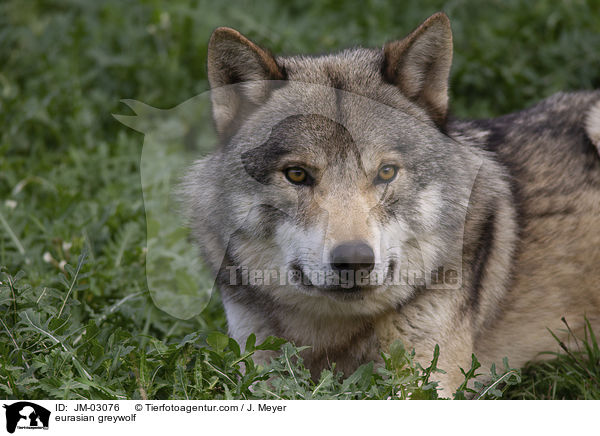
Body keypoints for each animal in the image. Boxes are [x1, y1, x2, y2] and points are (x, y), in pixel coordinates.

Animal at [182, 12, 600, 396]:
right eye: (297, 174)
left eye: (385, 172)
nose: (354, 261)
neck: (335, 340)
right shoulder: (253, 371)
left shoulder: (427, 378)